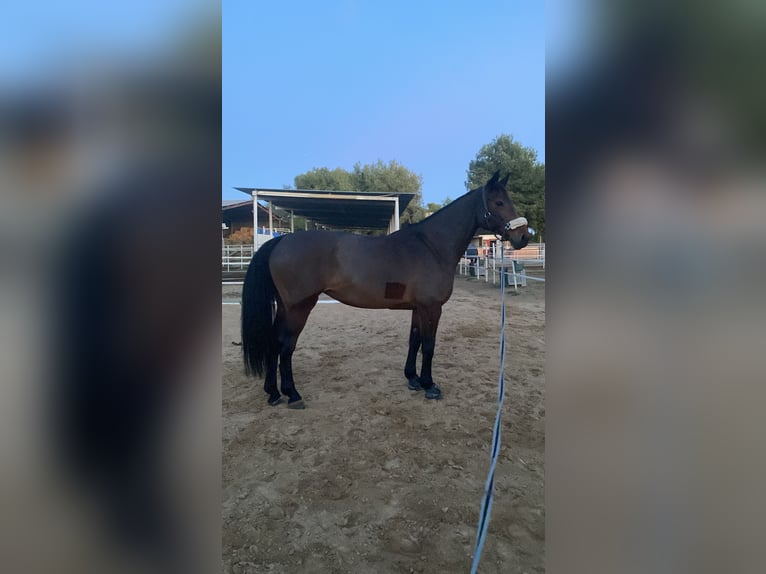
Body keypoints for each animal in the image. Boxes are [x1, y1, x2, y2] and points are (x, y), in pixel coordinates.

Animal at [241, 171, 532, 408]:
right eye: (498, 203)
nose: (523, 237)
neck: (431, 246)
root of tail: (282, 241)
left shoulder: (418, 308)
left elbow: (414, 341)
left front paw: (413, 379)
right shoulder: (431, 308)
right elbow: (429, 345)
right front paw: (430, 386)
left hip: (284, 307)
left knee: (273, 343)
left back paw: (273, 393)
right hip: (299, 308)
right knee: (285, 346)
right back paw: (292, 395)